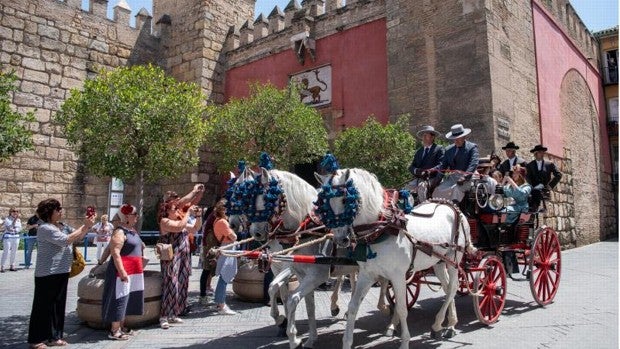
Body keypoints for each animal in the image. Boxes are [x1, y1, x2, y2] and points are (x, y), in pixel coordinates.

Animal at [318, 167, 472, 346]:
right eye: (324, 204)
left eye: (345, 200)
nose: (340, 239)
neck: (381, 230)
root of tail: (451, 206)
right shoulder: (367, 274)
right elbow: (353, 307)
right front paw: (347, 341)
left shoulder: (398, 276)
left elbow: (402, 308)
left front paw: (404, 341)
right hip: (439, 261)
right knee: (447, 289)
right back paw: (447, 325)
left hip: (454, 259)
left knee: (453, 287)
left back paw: (440, 323)